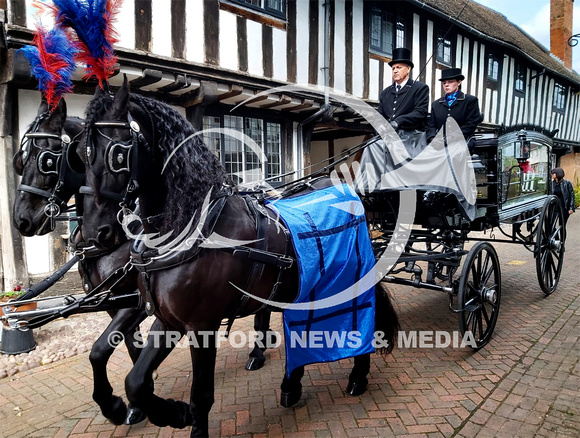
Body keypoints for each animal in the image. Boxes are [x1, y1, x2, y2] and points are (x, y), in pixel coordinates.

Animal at [11, 97, 148, 426]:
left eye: (48, 159)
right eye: (21, 158)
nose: (21, 220)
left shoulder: (135, 301)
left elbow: (98, 351)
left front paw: (114, 405)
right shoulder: (113, 302)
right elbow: (131, 346)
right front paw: (138, 404)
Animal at [75, 79, 396, 438]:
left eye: (117, 153)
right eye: (80, 155)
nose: (95, 232)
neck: (191, 228)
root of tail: (337, 183)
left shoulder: (201, 325)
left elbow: (201, 395)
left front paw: (183, 417)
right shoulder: (166, 319)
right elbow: (135, 381)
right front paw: (161, 412)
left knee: (362, 317)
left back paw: (357, 375)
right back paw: (291, 384)